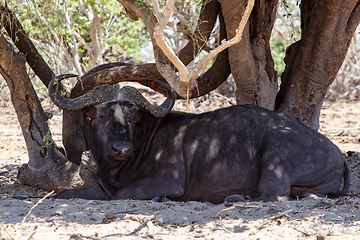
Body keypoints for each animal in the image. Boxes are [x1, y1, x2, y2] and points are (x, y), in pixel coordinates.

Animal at [49, 75, 350, 202]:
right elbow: (63, 193)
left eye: (133, 116)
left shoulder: (167, 182)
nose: (121, 148)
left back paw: (235, 198)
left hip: (276, 157)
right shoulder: (101, 188)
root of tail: (338, 154)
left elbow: (122, 195)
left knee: (273, 196)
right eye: (102, 114)